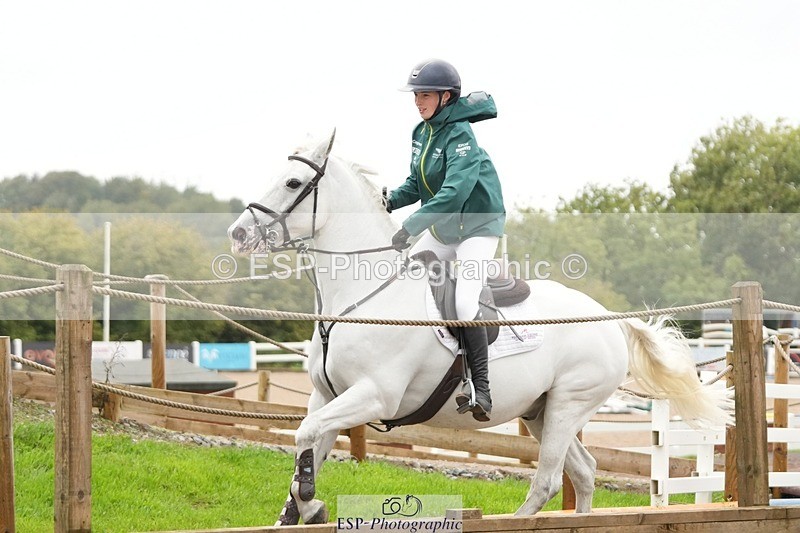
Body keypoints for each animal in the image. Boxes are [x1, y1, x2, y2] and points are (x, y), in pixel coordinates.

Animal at [227, 131, 732, 525]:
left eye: (293, 182)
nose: (238, 233)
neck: (361, 297)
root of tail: (608, 317)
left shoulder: (374, 395)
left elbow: (305, 437)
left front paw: (313, 507)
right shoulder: (326, 396)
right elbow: (306, 444)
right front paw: (299, 509)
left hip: (569, 403)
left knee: (549, 478)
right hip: (541, 411)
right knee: (585, 471)